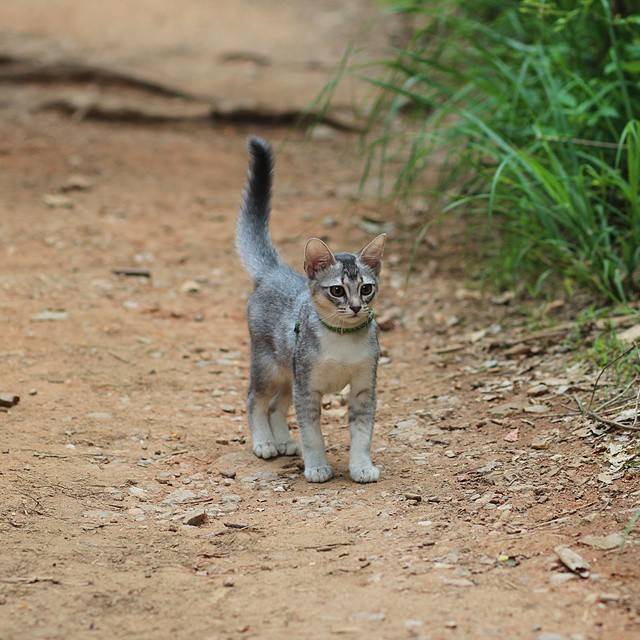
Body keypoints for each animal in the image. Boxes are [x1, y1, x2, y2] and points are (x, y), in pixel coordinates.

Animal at [235, 136, 384, 484]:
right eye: (337, 290)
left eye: (366, 288)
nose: (355, 307)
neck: (343, 340)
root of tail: (275, 270)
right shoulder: (308, 388)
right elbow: (312, 433)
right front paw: (317, 466)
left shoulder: (363, 387)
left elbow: (362, 434)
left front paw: (361, 466)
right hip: (270, 367)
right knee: (255, 400)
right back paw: (264, 442)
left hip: (289, 374)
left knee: (276, 406)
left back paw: (285, 442)